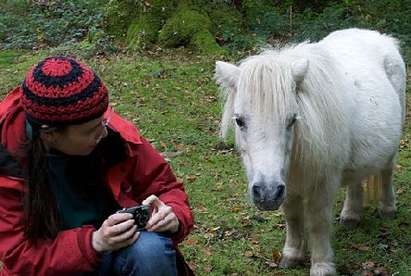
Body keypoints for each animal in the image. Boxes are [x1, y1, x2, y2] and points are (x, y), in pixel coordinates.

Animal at [214, 28, 408, 276]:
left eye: (291, 120)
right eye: (239, 121)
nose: (266, 193)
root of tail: (380, 37)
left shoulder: (322, 184)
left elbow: (317, 222)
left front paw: (322, 265)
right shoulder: (287, 183)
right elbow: (293, 216)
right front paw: (292, 254)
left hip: (391, 148)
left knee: (386, 172)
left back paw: (388, 209)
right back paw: (351, 214)